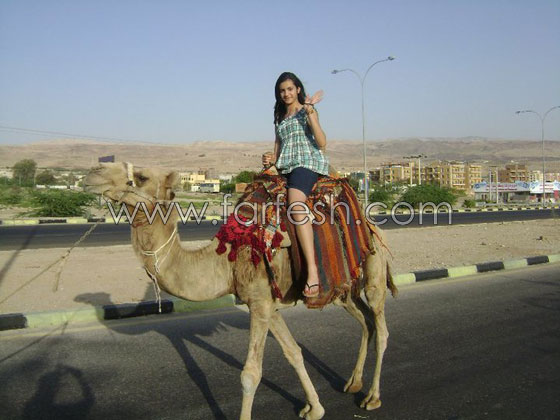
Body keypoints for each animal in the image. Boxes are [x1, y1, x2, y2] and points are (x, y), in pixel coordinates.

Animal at [85, 162, 396, 420]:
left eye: (141, 177)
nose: (93, 173)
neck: (226, 261)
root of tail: (371, 225)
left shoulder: (260, 302)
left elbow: (251, 374)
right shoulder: (266, 303)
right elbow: (293, 352)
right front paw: (314, 408)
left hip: (374, 269)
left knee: (380, 327)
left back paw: (372, 397)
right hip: (344, 289)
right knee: (365, 321)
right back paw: (353, 382)